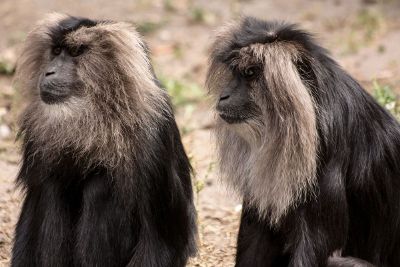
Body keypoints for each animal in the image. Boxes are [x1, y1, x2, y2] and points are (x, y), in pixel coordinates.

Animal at [13, 13, 198, 267]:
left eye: (76, 52)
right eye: (56, 51)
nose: (49, 72)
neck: (96, 114)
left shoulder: (152, 134)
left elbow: (161, 240)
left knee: (100, 187)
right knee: (53, 186)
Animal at [208, 16, 400, 266]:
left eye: (250, 73)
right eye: (235, 72)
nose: (224, 96)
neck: (311, 109)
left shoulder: (327, 154)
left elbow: (315, 247)